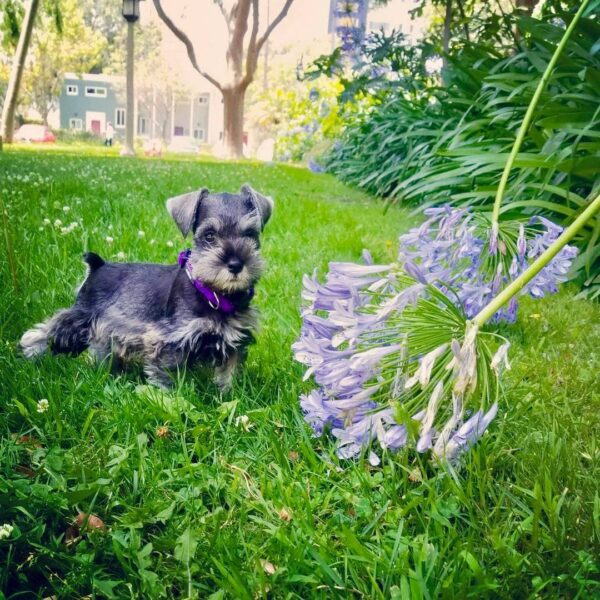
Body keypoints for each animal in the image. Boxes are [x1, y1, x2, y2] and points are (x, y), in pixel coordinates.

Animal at [18, 183, 272, 390]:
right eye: (209, 236)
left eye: (251, 234)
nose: (236, 264)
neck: (214, 294)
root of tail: (97, 266)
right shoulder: (169, 340)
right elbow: (168, 376)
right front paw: (173, 399)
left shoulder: (236, 341)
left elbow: (230, 374)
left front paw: (229, 396)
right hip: (78, 320)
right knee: (46, 330)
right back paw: (28, 352)